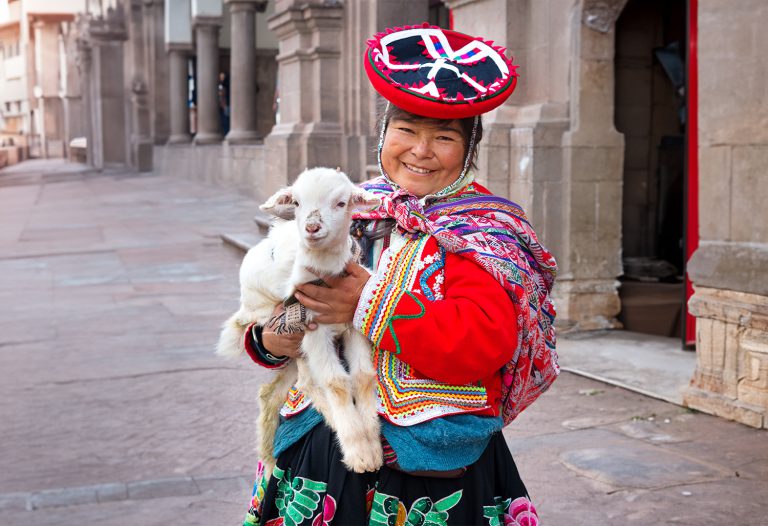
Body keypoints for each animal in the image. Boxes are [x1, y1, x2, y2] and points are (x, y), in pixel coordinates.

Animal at [214, 169, 382, 478]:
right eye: (297, 202)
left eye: (341, 203)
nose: (312, 227)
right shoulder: (313, 330)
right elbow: (337, 382)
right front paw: (360, 454)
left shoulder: (351, 325)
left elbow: (363, 376)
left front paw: (373, 446)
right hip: (279, 322)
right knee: (306, 382)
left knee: (274, 391)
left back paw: (269, 458)